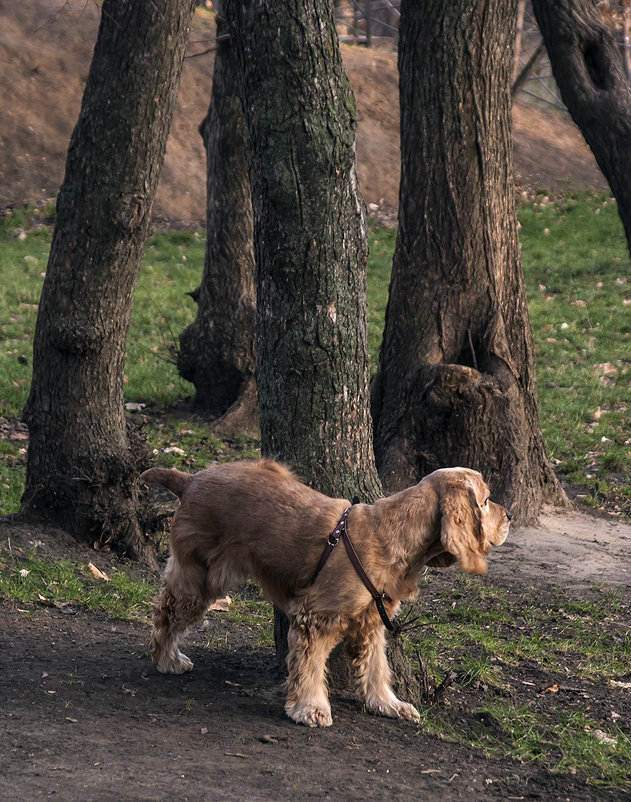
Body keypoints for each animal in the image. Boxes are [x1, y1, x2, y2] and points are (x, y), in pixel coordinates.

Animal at [141, 456, 512, 724]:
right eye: (486, 500)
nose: (510, 515)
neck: (397, 534)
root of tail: (190, 480)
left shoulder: (370, 622)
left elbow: (377, 669)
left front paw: (387, 704)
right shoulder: (317, 617)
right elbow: (310, 668)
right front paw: (310, 708)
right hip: (199, 579)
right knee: (164, 612)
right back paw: (167, 659)